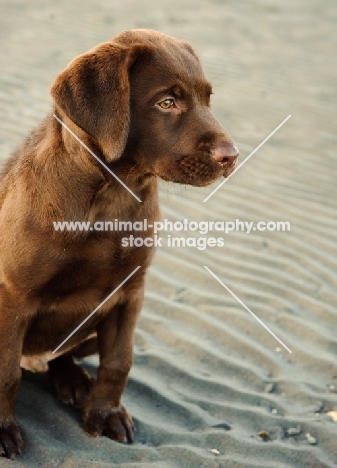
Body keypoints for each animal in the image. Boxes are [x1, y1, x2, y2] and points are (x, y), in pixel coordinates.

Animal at [0, 28, 236, 458]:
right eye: (167, 102)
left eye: (208, 99)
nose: (233, 156)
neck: (112, 195)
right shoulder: (13, 296)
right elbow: (6, 372)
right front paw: (3, 429)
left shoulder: (129, 293)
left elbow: (118, 363)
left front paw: (105, 414)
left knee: (63, 357)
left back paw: (73, 380)